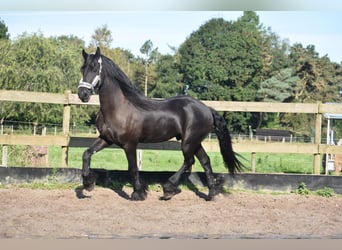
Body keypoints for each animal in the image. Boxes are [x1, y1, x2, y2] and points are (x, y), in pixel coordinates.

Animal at [77, 47, 243, 201]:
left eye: (94, 68)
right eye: (82, 68)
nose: (82, 94)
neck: (118, 107)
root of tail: (207, 109)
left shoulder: (129, 144)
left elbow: (133, 168)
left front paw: (138, 193)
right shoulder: (106, 139)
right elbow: (86, 154)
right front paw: (88, 184)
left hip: (189, 142)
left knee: (189, 161)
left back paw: (169, 188)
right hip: (195, 142)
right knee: (205, 161)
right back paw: (210, 194)